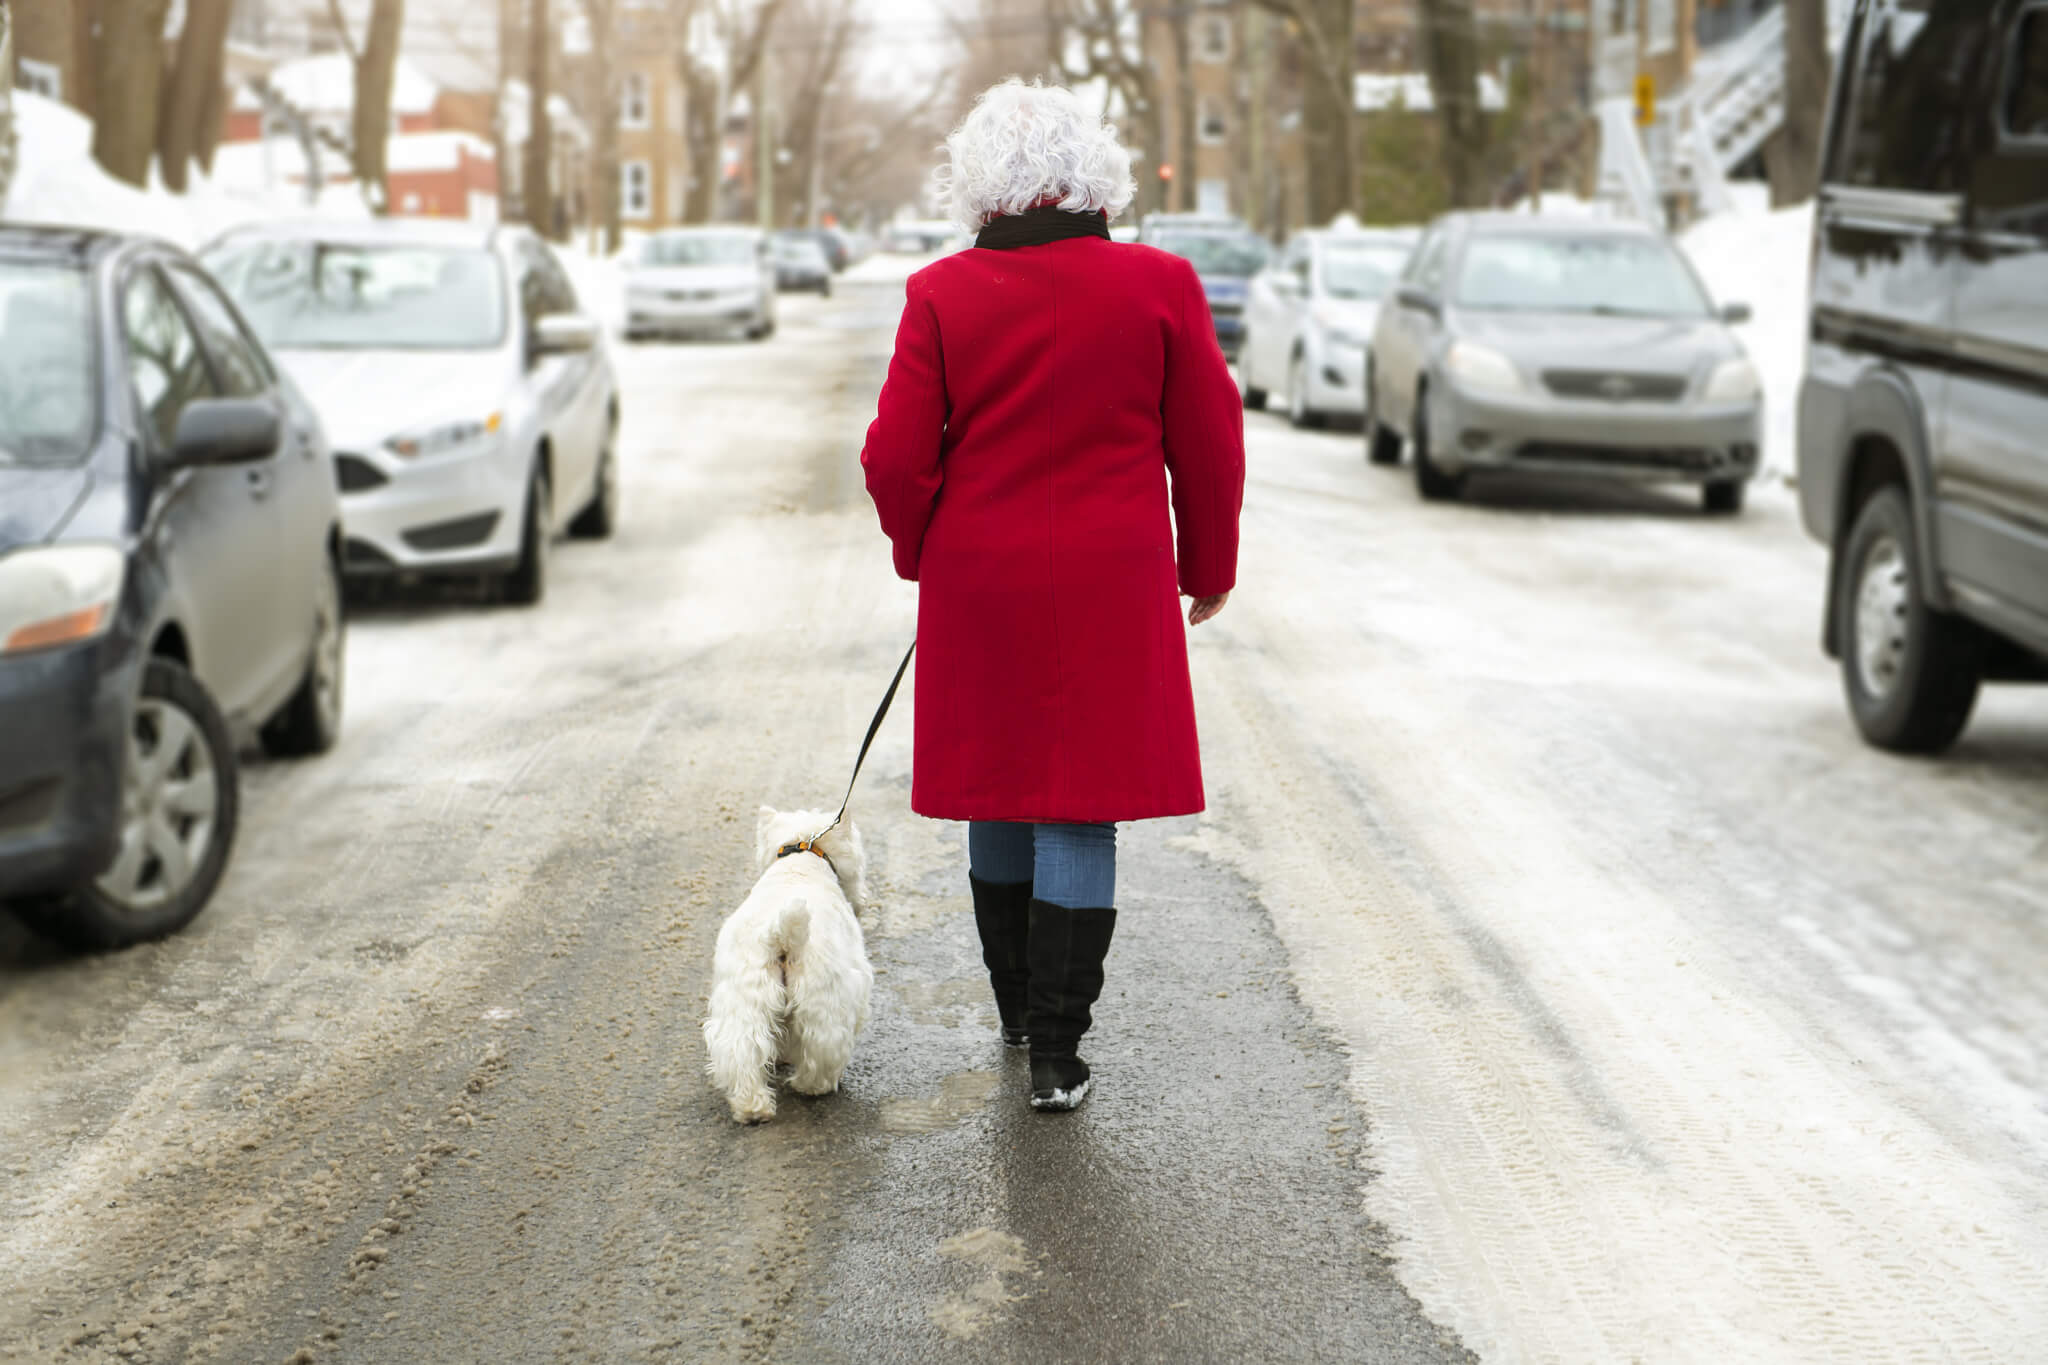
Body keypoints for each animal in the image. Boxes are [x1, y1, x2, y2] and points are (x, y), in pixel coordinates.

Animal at [704, 806, 872, 1129]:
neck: (802, 860)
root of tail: (781, 934)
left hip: (745, 998)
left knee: (741, 1051)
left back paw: (753, 1109)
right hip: (825, 999)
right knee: (823, 1049)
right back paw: (813, 1087)